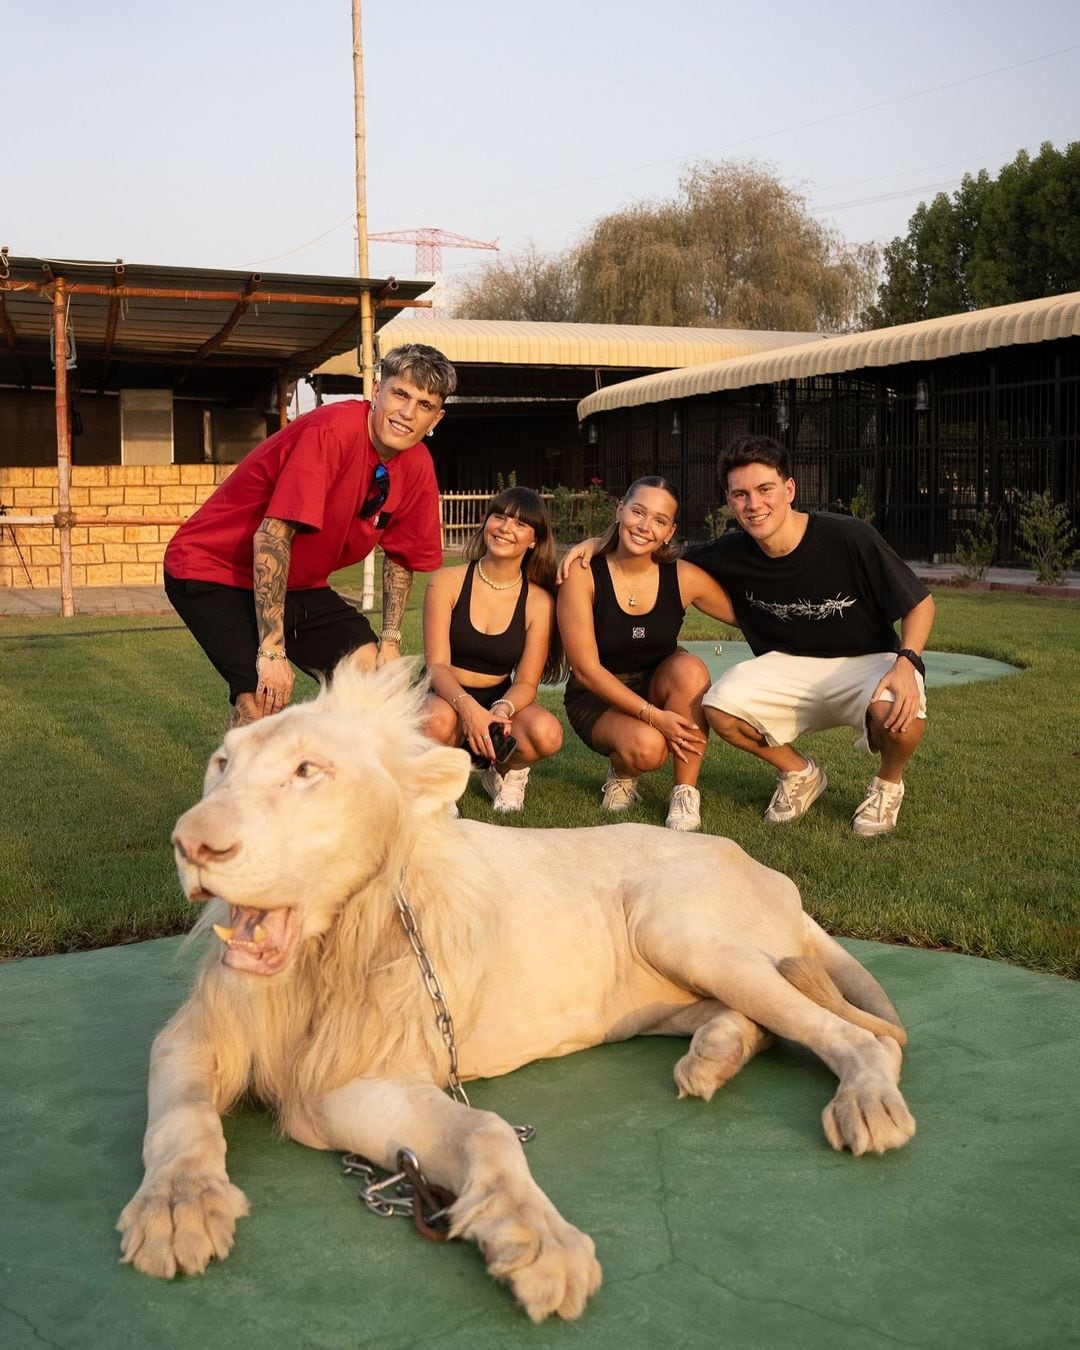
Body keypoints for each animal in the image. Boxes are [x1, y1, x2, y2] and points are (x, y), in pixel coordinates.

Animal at [118, 661, 912, 1317]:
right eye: (222, 765)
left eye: (308, 770)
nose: (192, 844)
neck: (330, 948)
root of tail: (775, 873)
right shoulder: (201, 1041)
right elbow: (181, 1117)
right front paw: (178, 1206)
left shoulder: (343, 1080)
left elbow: (489, 1131)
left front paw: (540, 1246)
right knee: (756, 1022)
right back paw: (711, 1059)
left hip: (678, 926)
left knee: (857, 1036)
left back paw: (866, 1105)